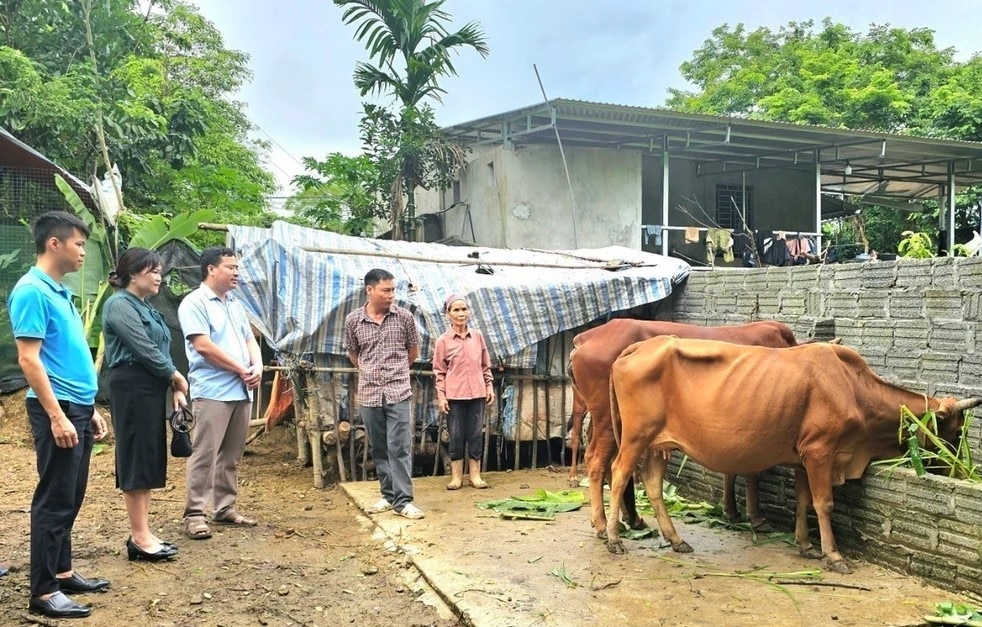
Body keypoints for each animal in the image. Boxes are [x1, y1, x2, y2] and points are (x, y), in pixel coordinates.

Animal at [572, 318, 804, 540]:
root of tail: (584, 338)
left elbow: (733, 470)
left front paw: (731, 511)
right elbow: (751, 472)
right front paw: (755, 518)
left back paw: (628, 519)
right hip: (609, 420)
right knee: (597, 461)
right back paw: (604, 524)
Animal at [612, 338, 980, 576]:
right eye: (953, 431)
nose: (962, 471)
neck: (854, 389)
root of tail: (638, 347)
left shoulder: (805, 457)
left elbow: (804, 501)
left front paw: (806, 546)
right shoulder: (820, 451)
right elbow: (823, 503)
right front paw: (834, 556)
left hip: (658, 444)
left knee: (653, 485)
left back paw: (676, 541)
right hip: (635, 437)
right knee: (617, 475)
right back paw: (613, 538)